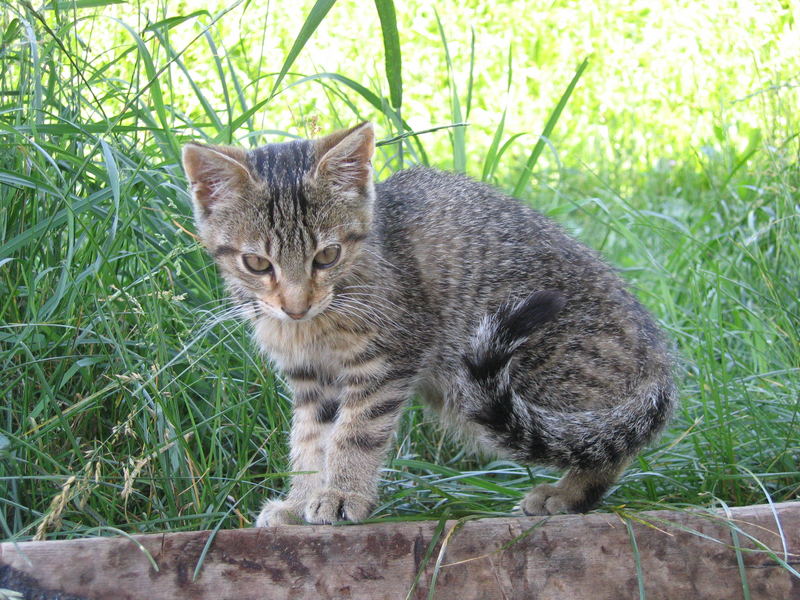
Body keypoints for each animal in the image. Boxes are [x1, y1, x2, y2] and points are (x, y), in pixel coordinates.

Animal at [181, 123, 676, 524]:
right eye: (256, 263)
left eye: (327, 256)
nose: (295, 305)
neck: (312, 326)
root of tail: (661, 358)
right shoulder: (310, 379)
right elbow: (309, 441)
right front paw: (299, 500)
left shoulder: (390, 356)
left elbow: (355, 433)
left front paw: (342, 494)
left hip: (532, 374)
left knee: (605, 444)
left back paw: (569, 494)